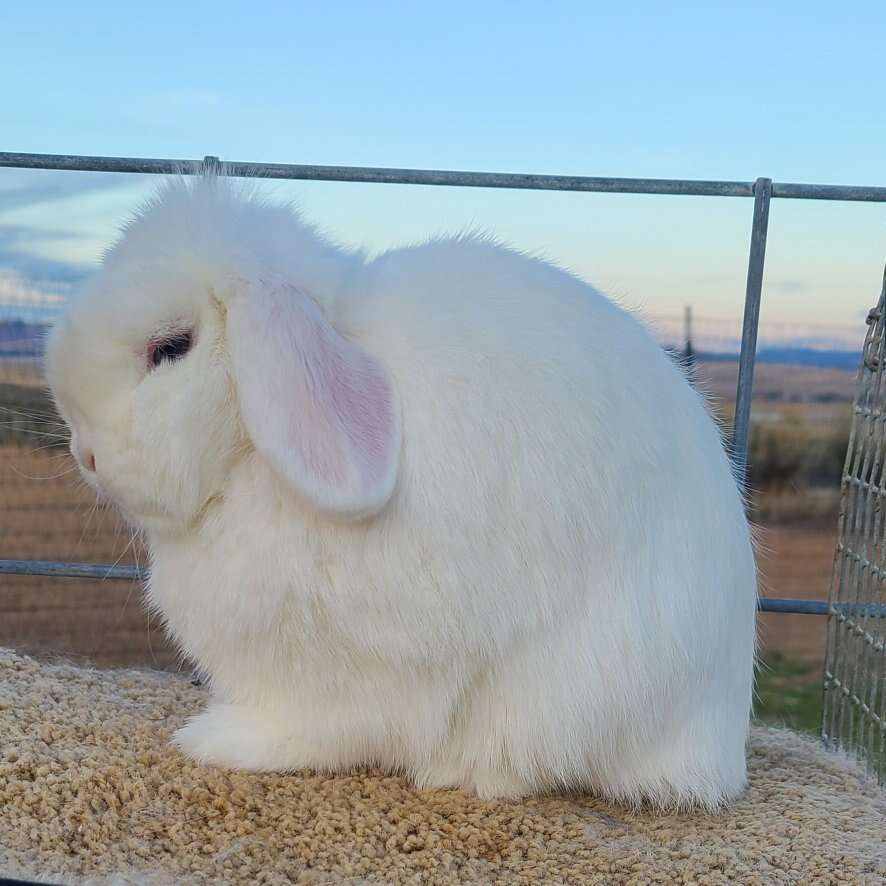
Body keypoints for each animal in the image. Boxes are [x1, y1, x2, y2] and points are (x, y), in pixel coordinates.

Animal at [46, 173, 756, 812]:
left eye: (171, 347)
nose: (86, 455)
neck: (255, 457)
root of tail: (714, 746)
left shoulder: (357, 662)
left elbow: (321, 724)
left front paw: (218, 740)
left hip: (568, 687)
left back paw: (461, 774)